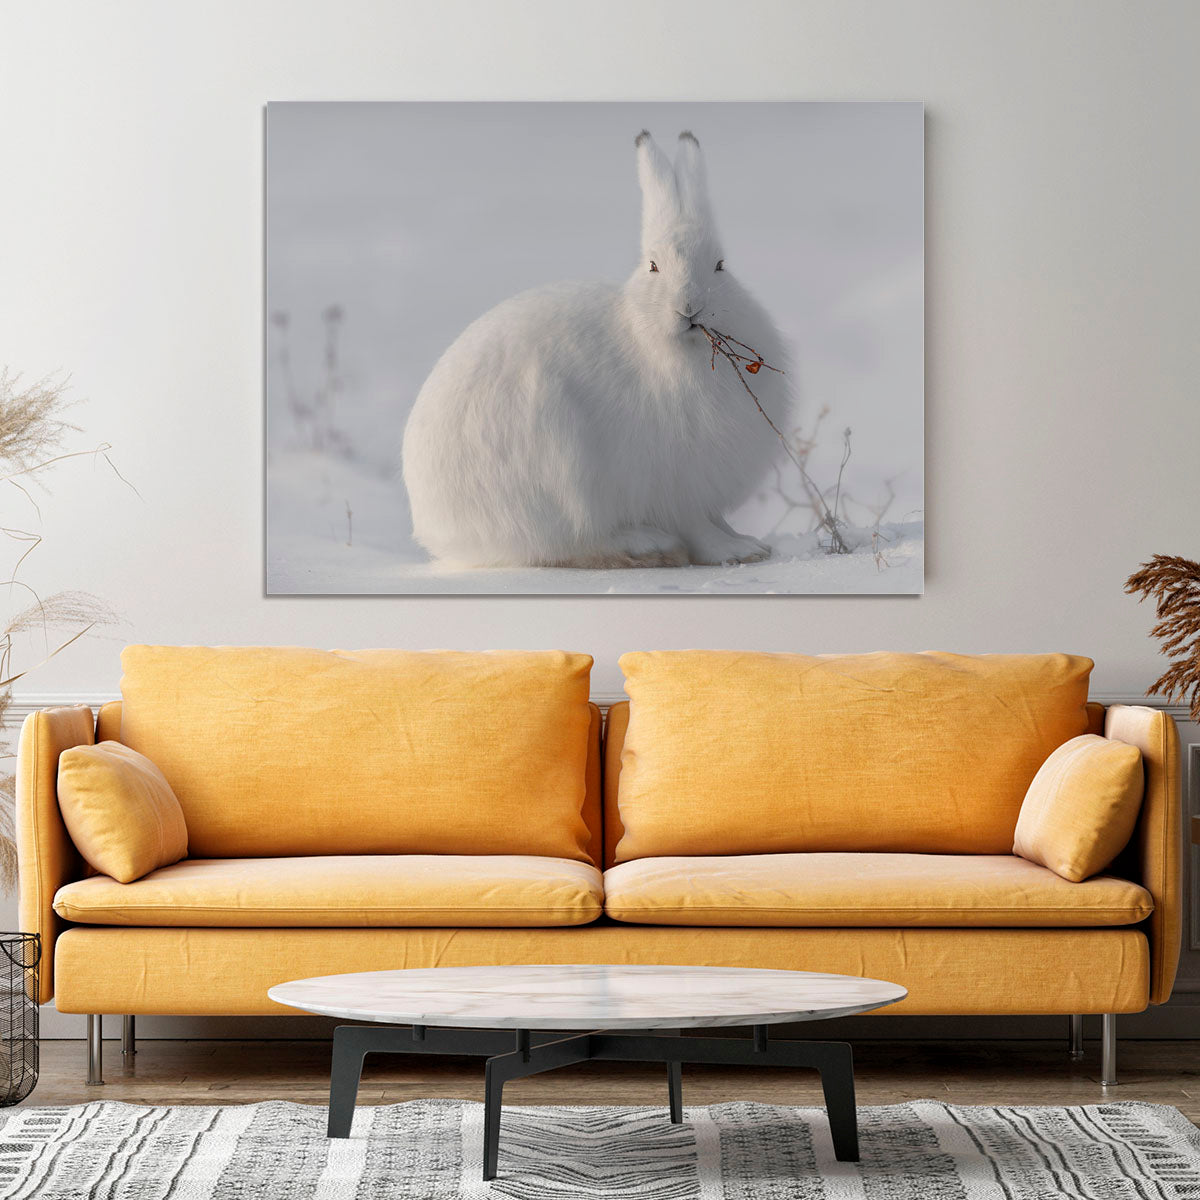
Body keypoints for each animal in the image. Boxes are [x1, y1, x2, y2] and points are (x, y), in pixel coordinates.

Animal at [402, 129, 792, 568]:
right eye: (653, 266)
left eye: (720, 266)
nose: (689, 307)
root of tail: (436, 530)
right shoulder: (673, 483)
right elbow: (697, 527)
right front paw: (735, 552)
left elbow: (715, 520)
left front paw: (751, 544)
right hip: (558, 468)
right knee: (570, 542)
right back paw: (648, 544)